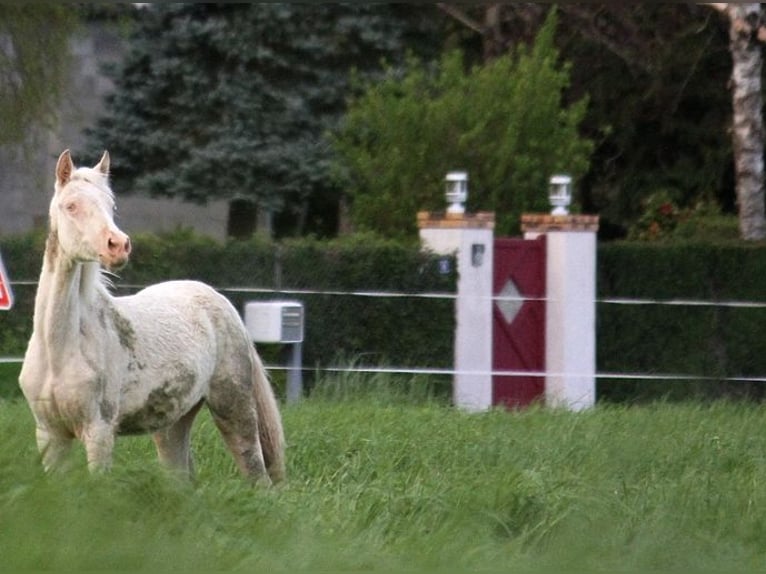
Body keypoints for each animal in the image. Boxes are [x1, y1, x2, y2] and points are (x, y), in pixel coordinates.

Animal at [20, 150, 284, 486]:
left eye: (111, 205)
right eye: (71, 205)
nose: (118, 245)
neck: (60, 349)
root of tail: (221, 301)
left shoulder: (99, 431)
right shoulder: (50, 435)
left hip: (235, 409)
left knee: (258, 476)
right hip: (173, 426)